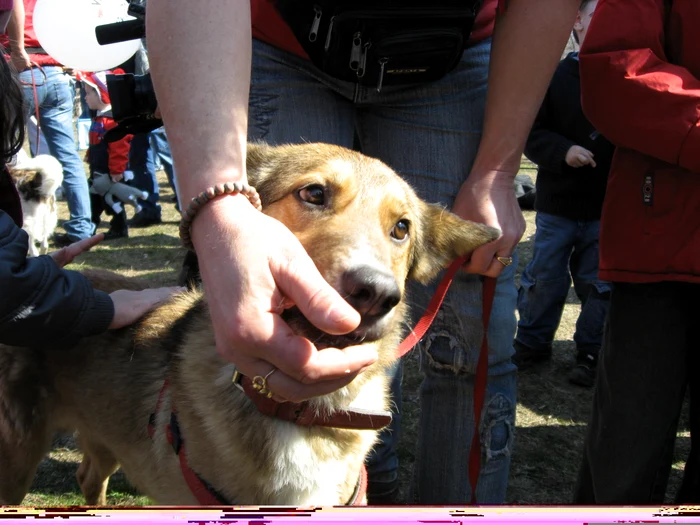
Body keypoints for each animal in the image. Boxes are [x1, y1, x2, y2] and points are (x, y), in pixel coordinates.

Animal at [0, 141, 498, 506]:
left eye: (401, 229)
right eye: (313, 193)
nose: (377, 292)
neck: (303, 410)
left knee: (88, 476)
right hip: (17, 459)